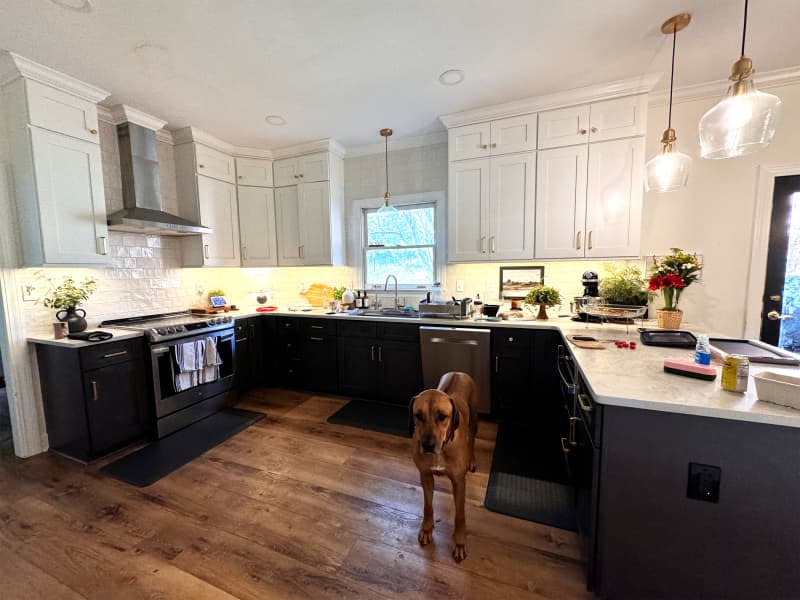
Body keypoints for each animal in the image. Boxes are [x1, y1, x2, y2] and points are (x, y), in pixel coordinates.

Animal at [410, 370, 478, 564]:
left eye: (442, 416)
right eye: (418, 415)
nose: (428, 445)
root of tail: (458, 372)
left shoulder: (459, 482)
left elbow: (460, 515)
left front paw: (460, 543)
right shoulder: (425, 475)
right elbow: (428, 505)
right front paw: (427, 529)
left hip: (474, 417)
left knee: (472, 438)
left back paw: (471, 459)